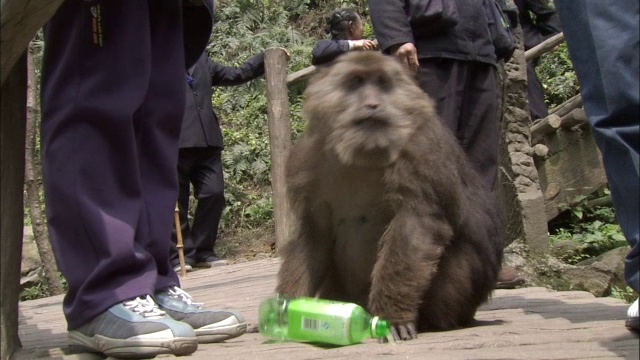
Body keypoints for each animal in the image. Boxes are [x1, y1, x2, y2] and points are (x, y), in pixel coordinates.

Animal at [276, 50, 504, 340]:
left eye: (383, 84)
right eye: (357, 82)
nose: (373, 104)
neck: (361, 155)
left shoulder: (422, 150)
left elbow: (416, 226)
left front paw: (392, 317)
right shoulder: (306, 159)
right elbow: (314, 234)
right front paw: (285, 310)